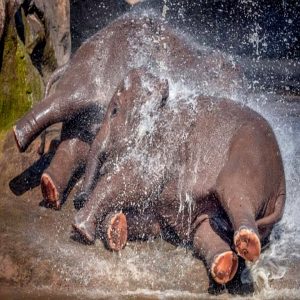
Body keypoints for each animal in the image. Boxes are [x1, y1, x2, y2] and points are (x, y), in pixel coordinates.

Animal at [69, 68, 286, 286]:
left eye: (114, 110)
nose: (78, 198)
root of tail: (281, 188)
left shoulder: (162, 144)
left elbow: (137, 182)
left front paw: (81, 230)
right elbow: (153, 221)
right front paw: (116, 226)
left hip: (247, 159)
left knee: (234, 194)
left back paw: (247, 242)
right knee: (204, 232)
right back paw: (224, 263)